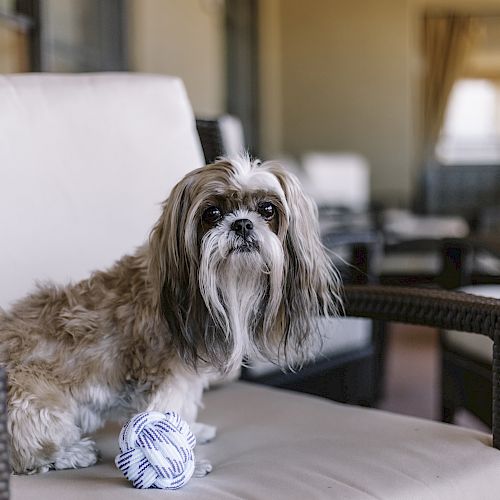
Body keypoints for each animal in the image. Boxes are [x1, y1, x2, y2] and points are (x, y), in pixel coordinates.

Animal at [0, 156, 340, 476]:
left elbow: (185, 410)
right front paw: (184, 461)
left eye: (267, 209)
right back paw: (71, 453)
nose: (242, 224)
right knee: (30, 451)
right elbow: (164, 415)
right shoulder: (165, 375)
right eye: (212, 214)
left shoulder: (187, 376)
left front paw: (193, 431)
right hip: (33, 399)